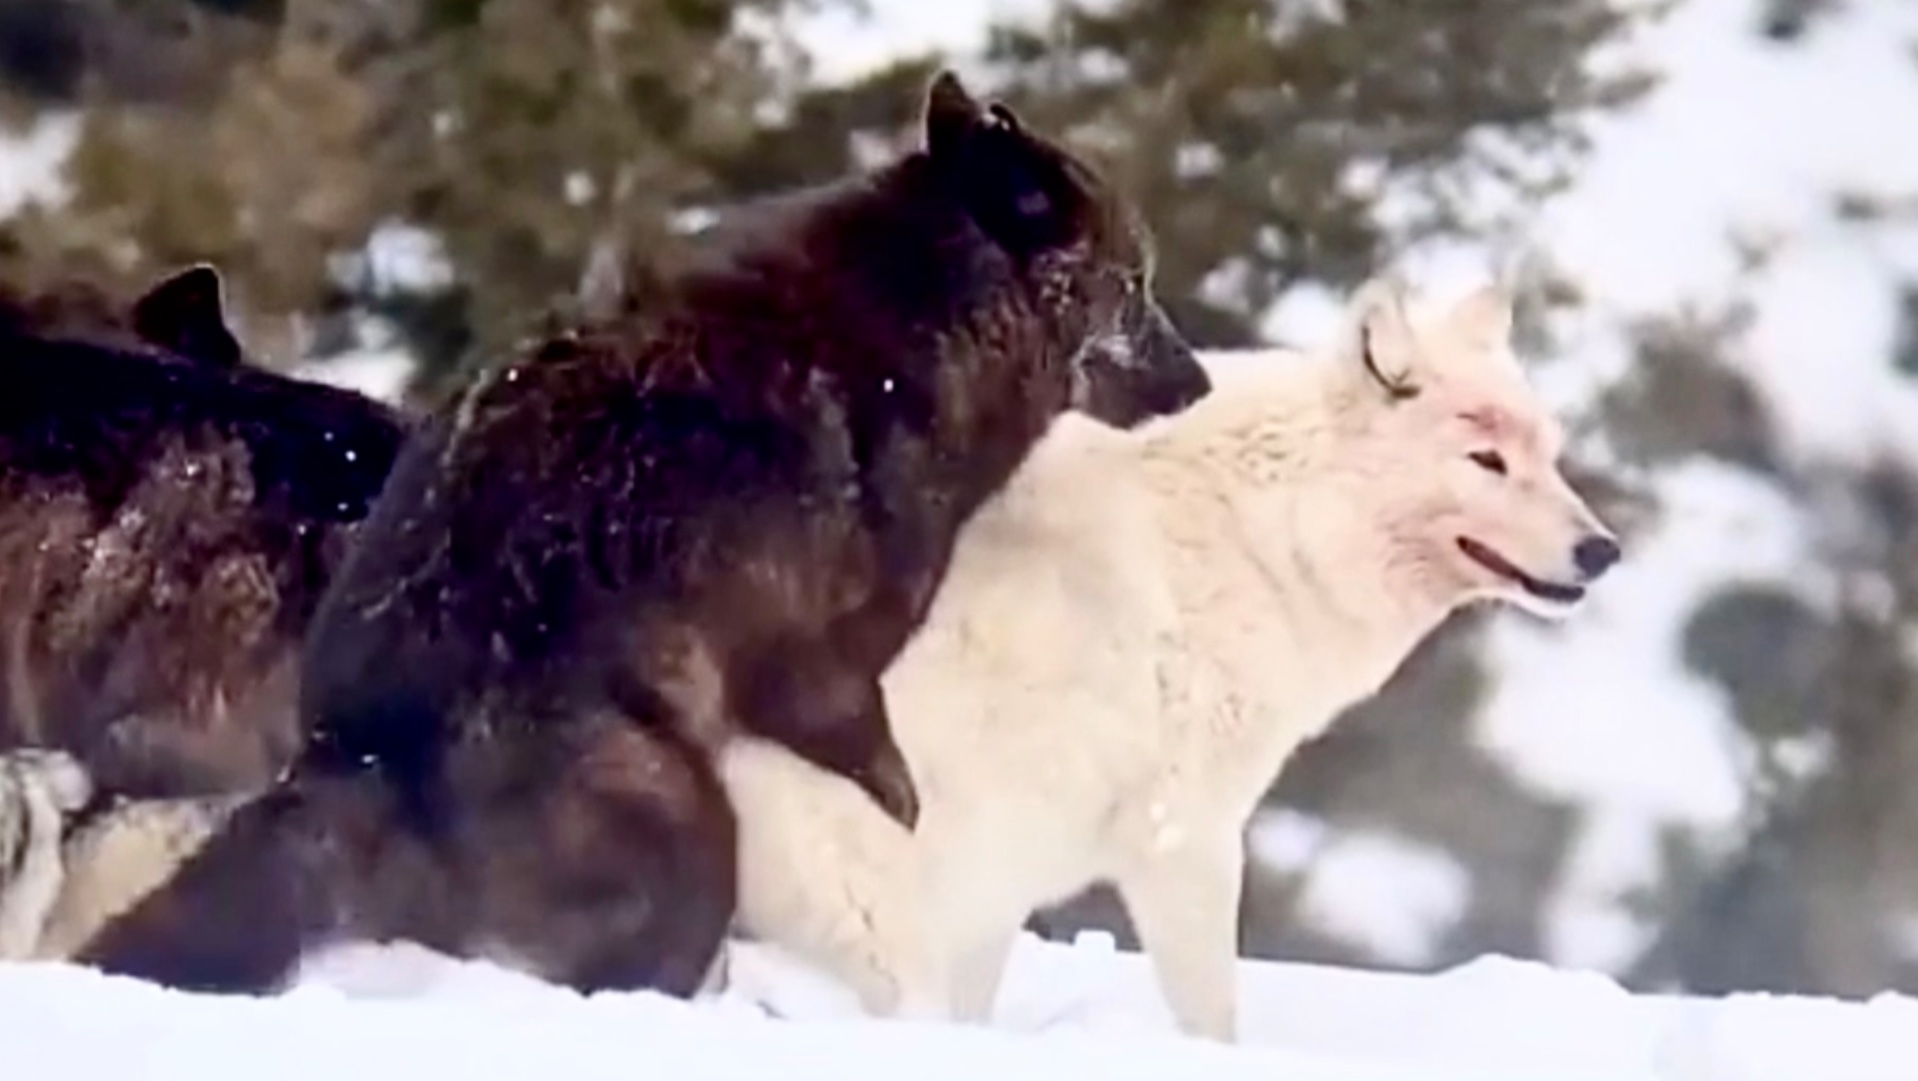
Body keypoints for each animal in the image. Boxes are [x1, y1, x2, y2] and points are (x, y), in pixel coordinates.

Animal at [0, 274, 1618, 1042]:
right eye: (1483, 457)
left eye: (1545, 451)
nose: (1602, 552)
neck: (1251, 538)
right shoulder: (1172, 845)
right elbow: (1212, 1016)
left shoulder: (989, 886)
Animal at [78, 67, 1212, 996]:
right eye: (1136, 285)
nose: (1198, 380)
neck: (920, 324)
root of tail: (360, 747)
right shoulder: (827, 661)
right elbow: (875, 762)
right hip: (695, 833)